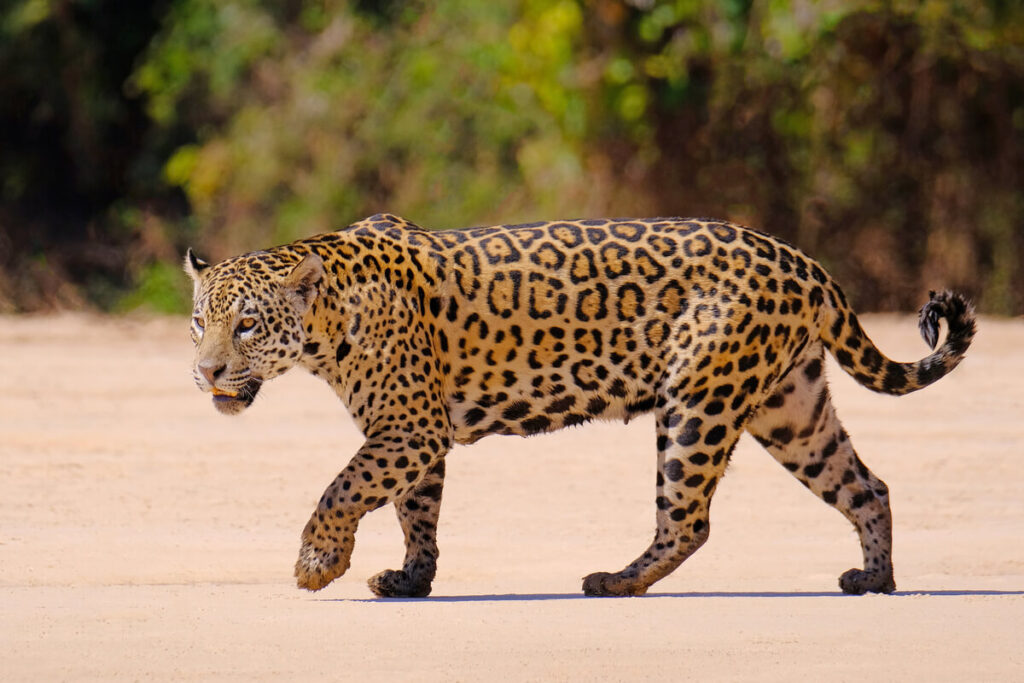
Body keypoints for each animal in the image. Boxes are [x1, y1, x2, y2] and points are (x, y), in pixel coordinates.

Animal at [185, 214, 975, 597]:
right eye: (200, 321)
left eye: (247, 325)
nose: (206, 370)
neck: (326, 322)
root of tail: (803, 261)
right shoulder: (414, 432)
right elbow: (416, 510)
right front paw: (412, 580)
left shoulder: (408, 426)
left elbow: (343, 487)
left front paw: (318, 562)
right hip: (791, 407)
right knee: (867, 485)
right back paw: (874, 579)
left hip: (698, 401)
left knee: (688, 520)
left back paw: (617, 582)